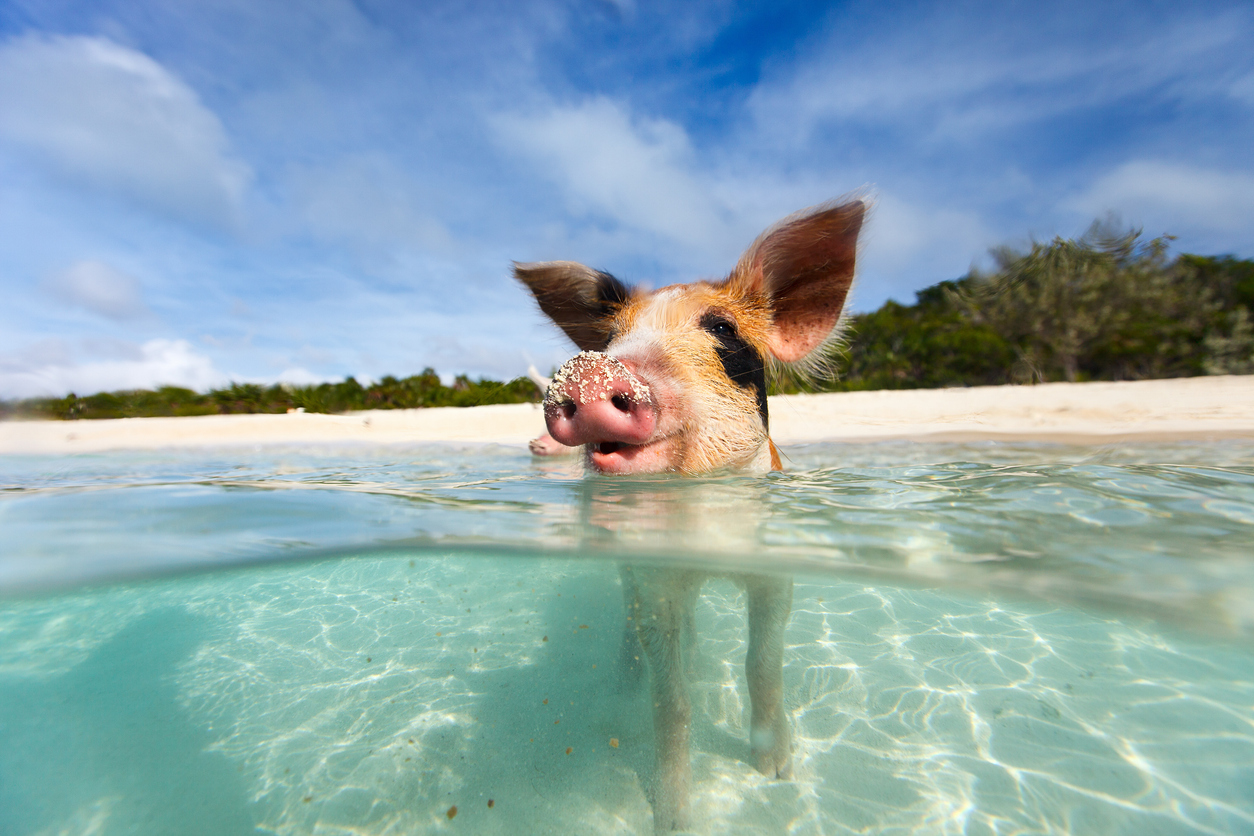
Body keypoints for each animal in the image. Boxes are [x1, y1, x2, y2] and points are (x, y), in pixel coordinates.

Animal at [514, 198, 865, 832]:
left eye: (722, 329)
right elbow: (670, 701)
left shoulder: (775, 572)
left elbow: (762, 661)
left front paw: (777, 771)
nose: (592, 369)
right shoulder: (655, 580)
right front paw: (674, 819)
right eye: (610, 337)